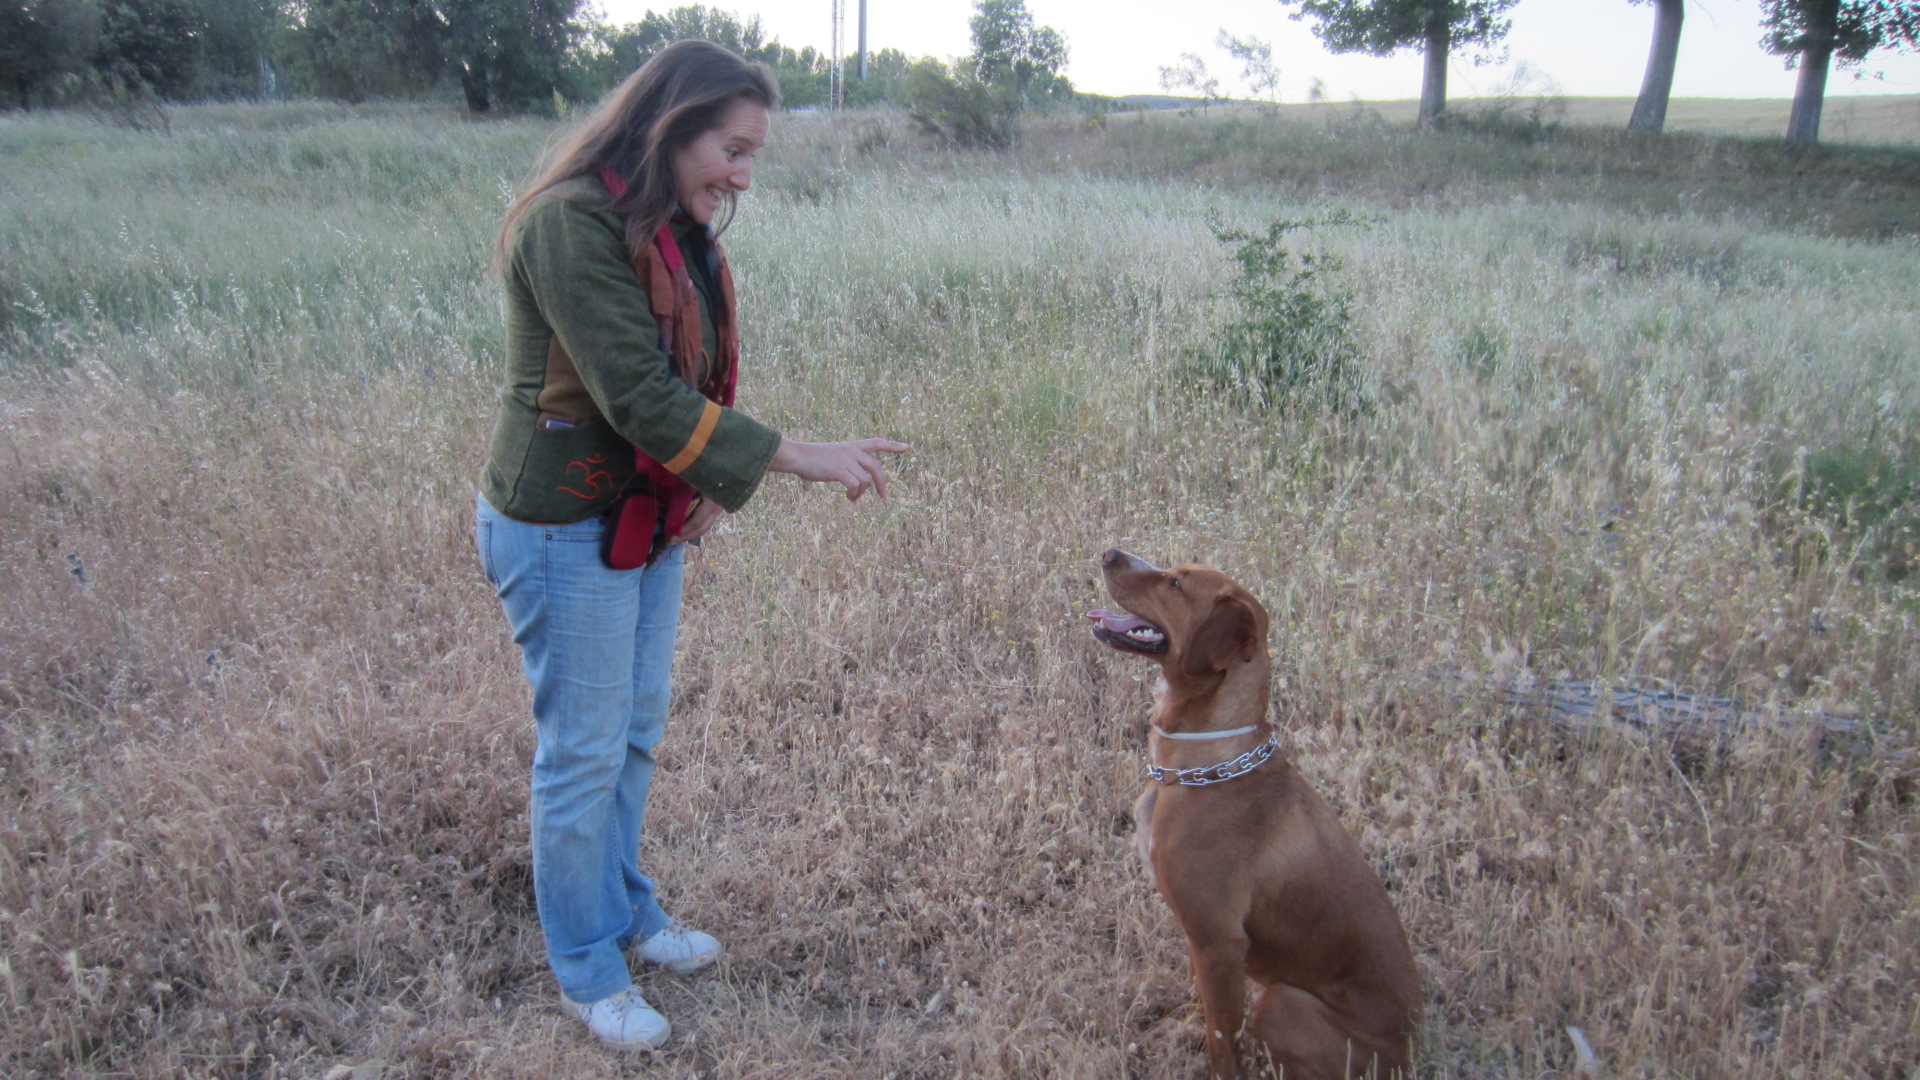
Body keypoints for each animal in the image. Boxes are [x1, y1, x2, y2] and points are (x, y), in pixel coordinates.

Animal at [1090, 549, 1420, 1076]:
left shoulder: (1221, 942)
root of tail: (1409, 1054)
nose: (1108, 553)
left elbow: (1223, 1038)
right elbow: (1201, 1004)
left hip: (1281, 1003)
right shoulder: (1201, 939)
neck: (1201, 767)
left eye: (1176, 584)